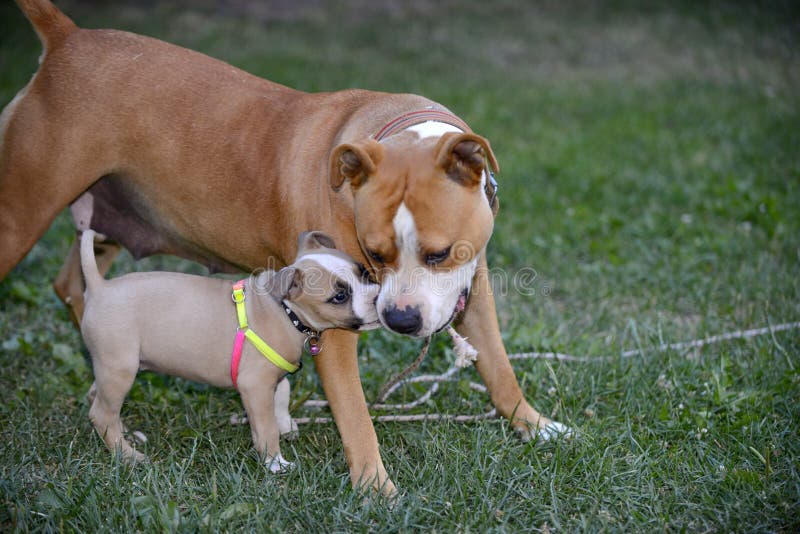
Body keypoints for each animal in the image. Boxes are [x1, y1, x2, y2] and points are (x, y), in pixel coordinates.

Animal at [79, 230, 380, 474]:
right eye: (339, 297)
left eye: (364, 272)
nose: (379, 298)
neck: (285, 311)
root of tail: (99, 286)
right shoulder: (255, 385)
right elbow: (266, 426)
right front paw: (275, 462)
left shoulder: (270, 377)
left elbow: (282, 392)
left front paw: (286, 425)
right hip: (120, 369)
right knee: (101, 413)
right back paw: (128, 455)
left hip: (111, 367)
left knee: (97, 398)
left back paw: (127, 434)